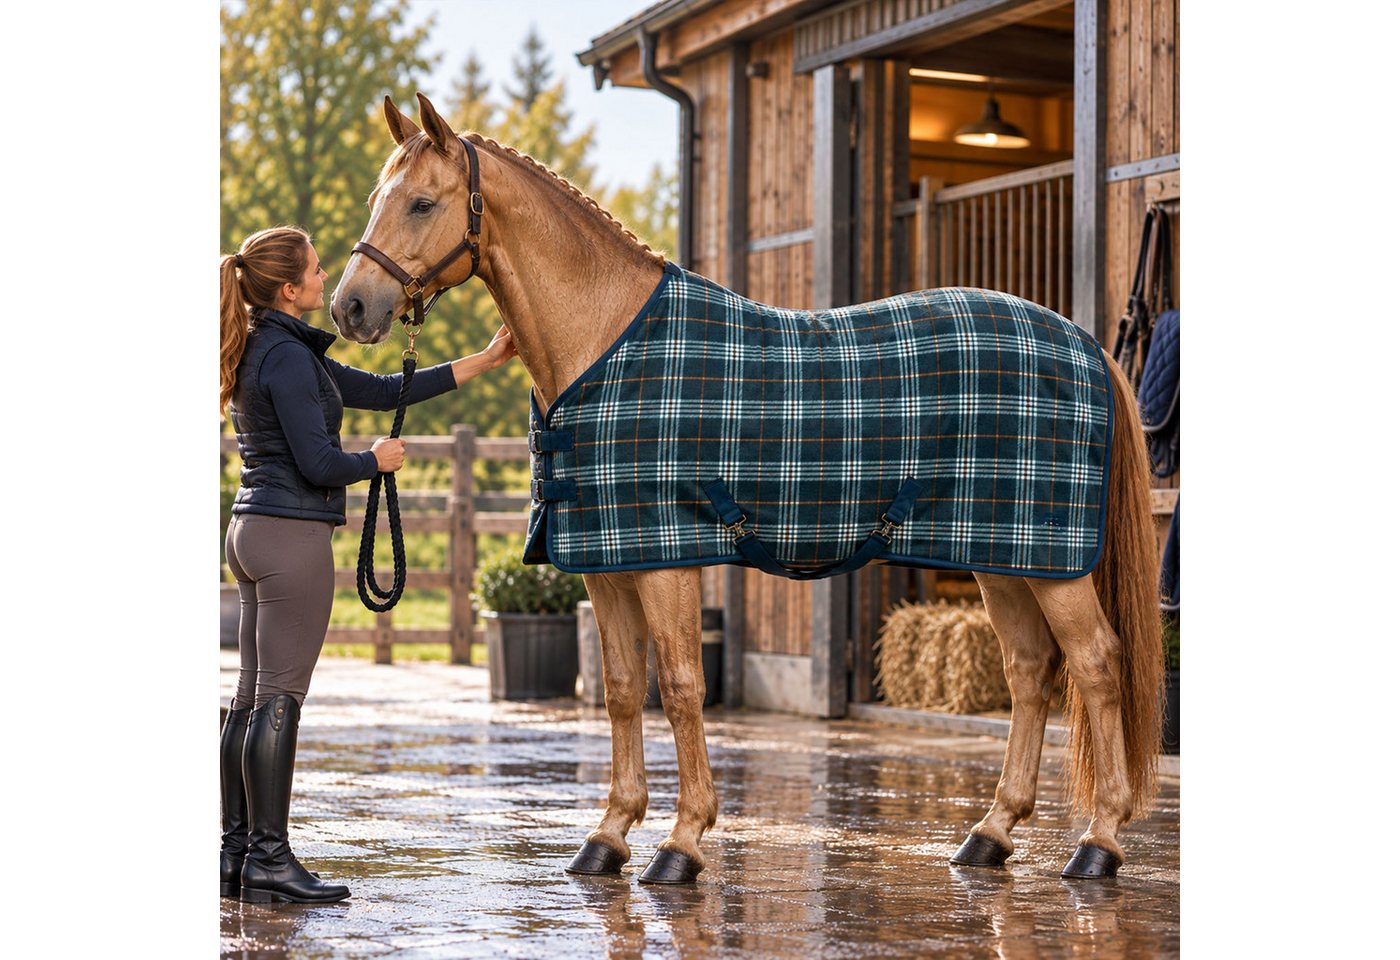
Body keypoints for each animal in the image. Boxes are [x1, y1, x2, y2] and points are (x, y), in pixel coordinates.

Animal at [330, 93, 1163, 884]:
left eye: (421, 203)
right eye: (377, 197)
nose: (351, 307)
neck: (608, 345)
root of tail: (1085, 344)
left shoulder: (665, 561)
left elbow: (681, 685)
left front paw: (682, 842)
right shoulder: (605, 566)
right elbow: (624, 688)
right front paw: (608, 835)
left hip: (1053, 565)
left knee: (1096, 663)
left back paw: (1099, 841)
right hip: (1005, 558)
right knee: (1029, 670)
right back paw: (991, 833)